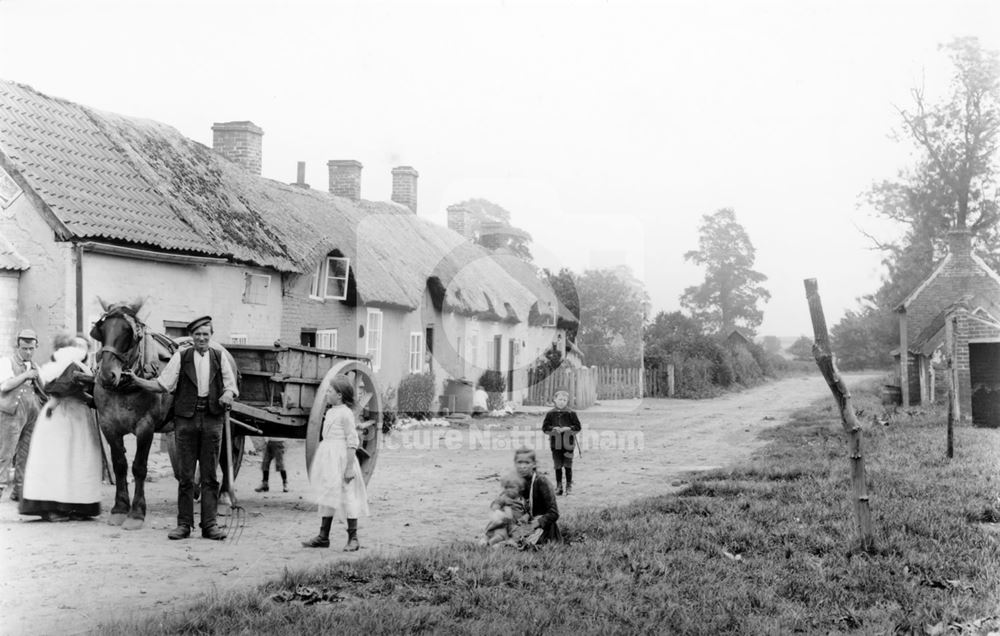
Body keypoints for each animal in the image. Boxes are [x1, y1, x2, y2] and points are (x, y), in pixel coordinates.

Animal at [91, 300, 177, 528]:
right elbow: (120, 465)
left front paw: (137, 512)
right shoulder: (108, 426)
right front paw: (120, 508)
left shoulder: (145, 427)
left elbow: (139, 467)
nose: (107, 375)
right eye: (101, 331)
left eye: (129, 333)